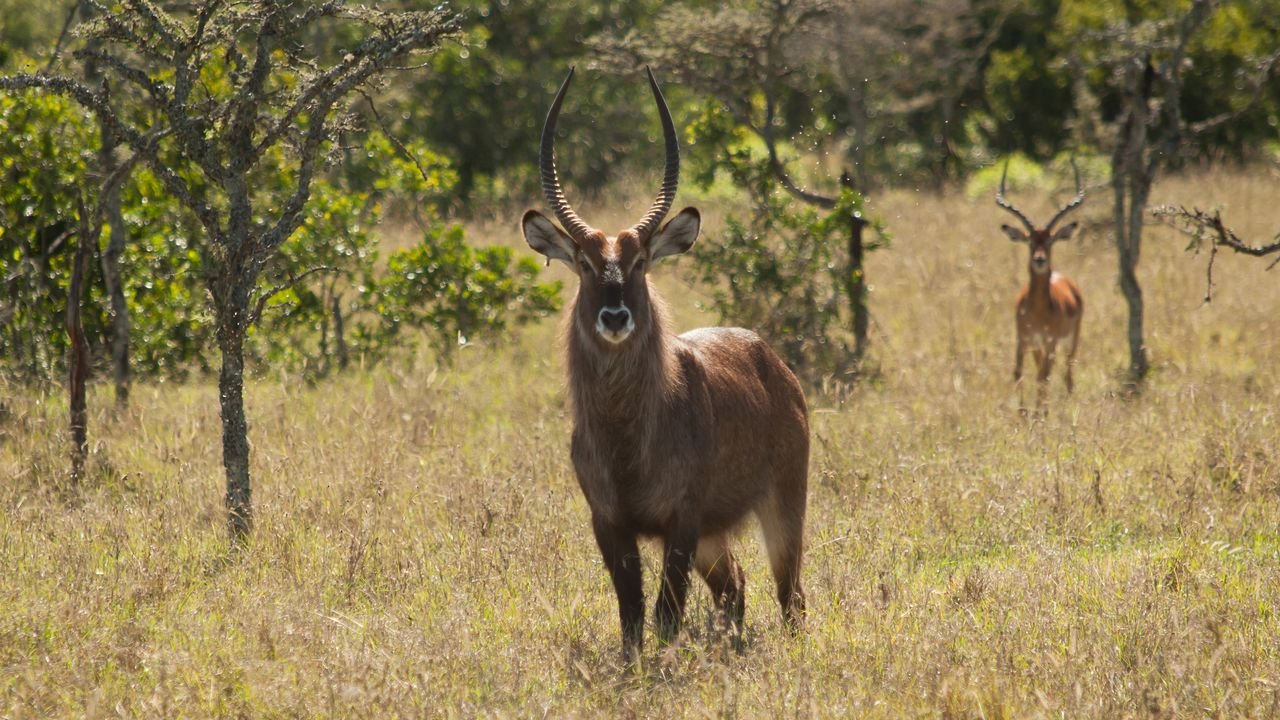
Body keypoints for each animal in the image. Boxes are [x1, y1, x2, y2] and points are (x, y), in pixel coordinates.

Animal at [517, 67, 798, 655]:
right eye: (584, 262)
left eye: (641, 260)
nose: (615, 316)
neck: (626, 437)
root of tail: (769, 357)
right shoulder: (609, 523)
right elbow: (631, 616)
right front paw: (634, 666)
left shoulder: (682, 521)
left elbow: (666, 614)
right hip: (716, 537)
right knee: (736, 586)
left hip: (782, 508)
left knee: (791, 597)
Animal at [993, 159, 1085, 412]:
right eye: (1030, 241)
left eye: (1050, 240)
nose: (1040, 260)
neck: (1037, 311)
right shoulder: (1023, 339)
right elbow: (1018, 373)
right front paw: (1023, 414)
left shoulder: (1050, 341)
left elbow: (1043, 377)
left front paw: (1038, 415)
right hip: (1039, 347)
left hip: (1069, 342)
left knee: (1066, 375)